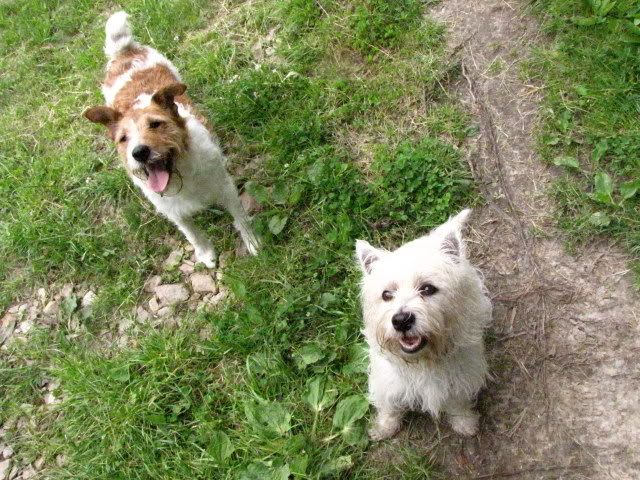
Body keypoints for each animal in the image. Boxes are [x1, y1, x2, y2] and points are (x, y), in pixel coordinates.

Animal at [84, 11, 259, 267]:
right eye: (123, 138)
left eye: (156, 124)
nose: (139, 152)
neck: (181, 173)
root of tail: (125, 52)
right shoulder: (172, 209)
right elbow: (192, 233)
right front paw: (206, 253)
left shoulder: (225, 188)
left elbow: (241, 218)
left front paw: (252, 241)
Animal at [355, 209, 491, 439]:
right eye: (387, 294)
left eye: (428, 289)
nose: (401, 320)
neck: (423, 361)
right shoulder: (387, 382)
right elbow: (389, 407)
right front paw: (384, 428)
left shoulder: (461, 378)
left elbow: (458, 403)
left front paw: (465, 423)